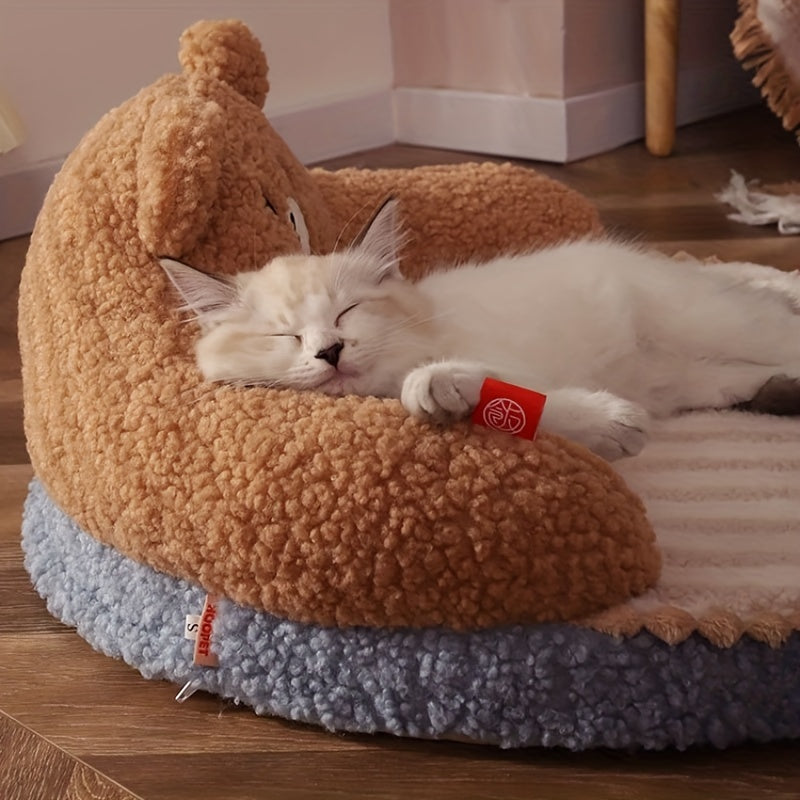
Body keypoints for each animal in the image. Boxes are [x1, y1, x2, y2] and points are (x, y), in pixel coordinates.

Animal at [161, 198, 800, 462]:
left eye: (346, 313)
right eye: (285, 336)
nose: (331, 351)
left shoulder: (507, 361)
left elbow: (517, 396)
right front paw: (611, 425)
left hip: (715, 325)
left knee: (775, 332)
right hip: (689, 375)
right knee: (737, 380)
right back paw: (780, 392)